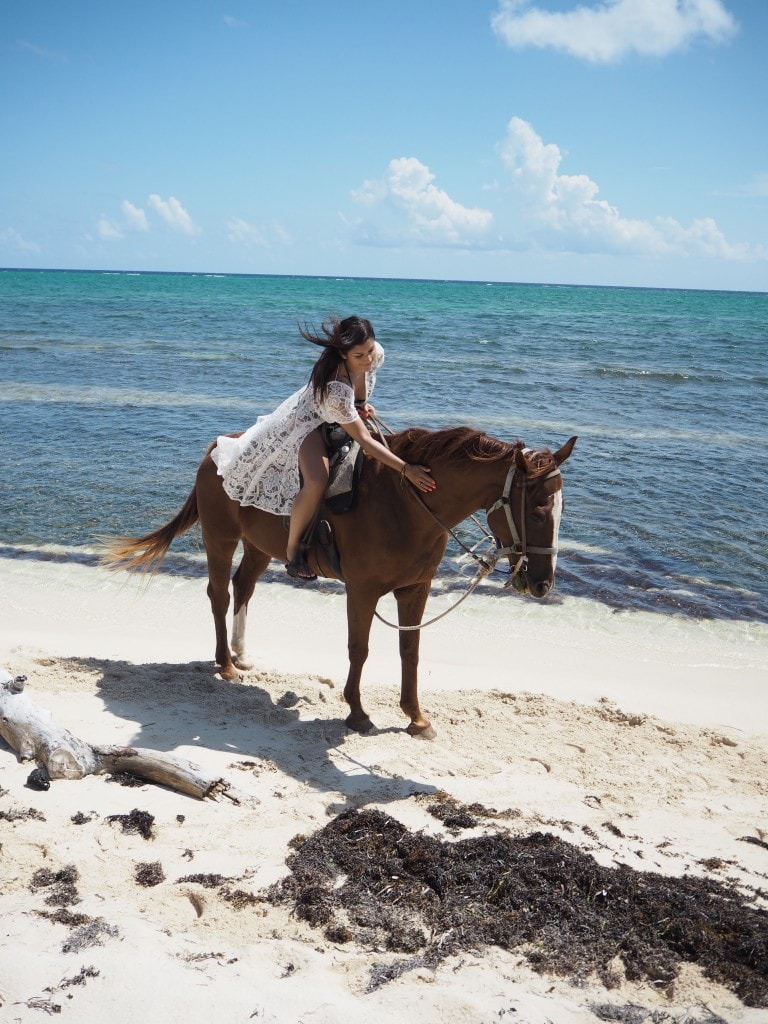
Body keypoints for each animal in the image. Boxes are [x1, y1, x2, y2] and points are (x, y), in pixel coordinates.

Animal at [103, 425, 577, 737]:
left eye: (560, 509)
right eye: (537, 510)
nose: (543, 585)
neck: (407, 505)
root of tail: (217, 448)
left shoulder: (415, 590)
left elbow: (410, 652)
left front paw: (415, 716)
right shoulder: (362, 591)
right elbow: (359, 649)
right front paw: (357, 712)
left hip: (260, 546)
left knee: (244, 586)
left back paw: (242, 654)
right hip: (219, 537)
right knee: (219, 593)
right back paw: (225, 663)